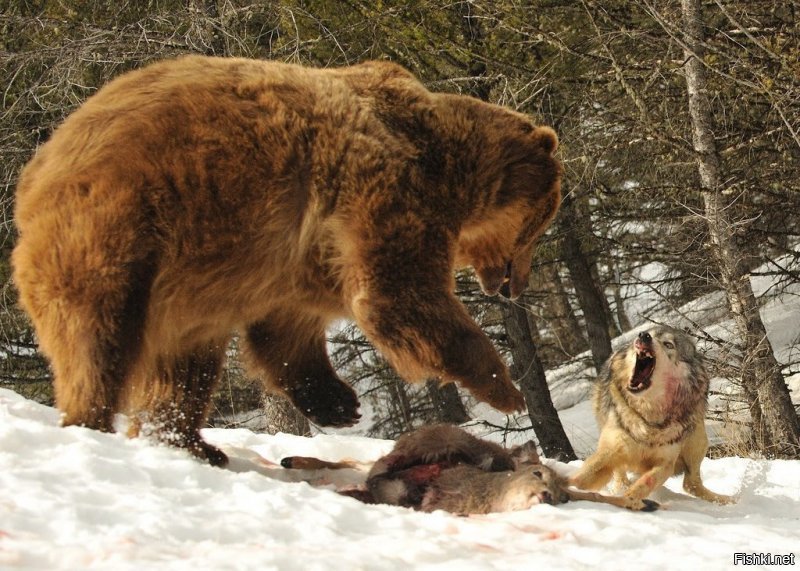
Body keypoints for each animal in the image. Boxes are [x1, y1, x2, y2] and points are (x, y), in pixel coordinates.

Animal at [12, 54, 564, 464]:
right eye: (540, 224)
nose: (514, 284)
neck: (448, 166)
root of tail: (34, 173)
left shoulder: (295, 258)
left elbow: (287, 329)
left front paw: (339, 403)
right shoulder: (384, 191)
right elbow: (399, 296)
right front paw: (505, 387)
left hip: (185, 281)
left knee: (184, 365)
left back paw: (190, 442)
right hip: (120, 226)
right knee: (98, 336)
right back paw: (93, 422)